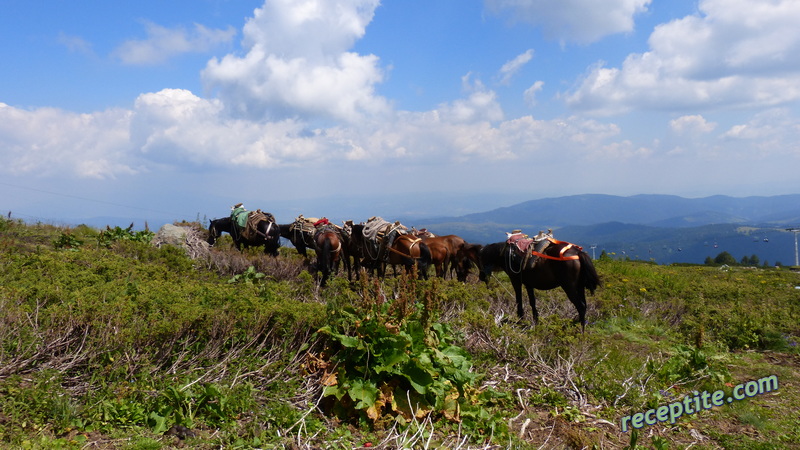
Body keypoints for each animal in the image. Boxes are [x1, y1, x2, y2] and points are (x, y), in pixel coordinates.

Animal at [462, 243, 600, 330]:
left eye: (479, 259)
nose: (481, 276)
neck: (506, 254)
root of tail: (578, 252)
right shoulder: (529, 284)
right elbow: (532, 302)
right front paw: (535, 321)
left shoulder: (515, 280)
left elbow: (519, 300)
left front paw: (520, 319)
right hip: (579, 287)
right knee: (584, 305)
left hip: (569, 287)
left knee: (580, 306)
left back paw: (581, 331)